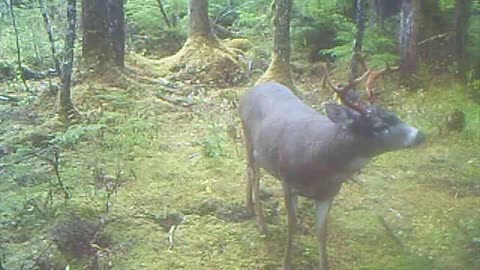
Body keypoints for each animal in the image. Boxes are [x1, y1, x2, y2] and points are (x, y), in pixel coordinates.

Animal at [239, 63, 424, 270]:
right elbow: (291, 224)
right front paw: (286, 263)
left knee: (249, 170)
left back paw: (249, 206)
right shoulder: (287, 181)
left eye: (396, 116)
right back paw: (262, 224)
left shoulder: (329, 193)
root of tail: (249, 91)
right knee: (253, 174)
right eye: (378, 126)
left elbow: (321, 231)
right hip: (248, 139)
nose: (420, 135)